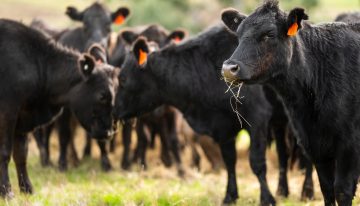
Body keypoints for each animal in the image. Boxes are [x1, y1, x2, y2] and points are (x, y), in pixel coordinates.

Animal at [0, 19, 118, 198]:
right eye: (101, 95)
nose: (109, 132)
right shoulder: (8, 113)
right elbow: (5, 152)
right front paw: (7, 192)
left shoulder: (23, 119)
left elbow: (21, 154)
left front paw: (27, 189)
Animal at [115, 26, 276, 204]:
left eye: (122, 78)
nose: (114, 110)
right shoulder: (224, 127)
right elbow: (229, 161)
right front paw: (230, 196)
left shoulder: (258, 117)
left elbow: (257, 162)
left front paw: (267, 198)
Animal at [222, 0, 360, 205]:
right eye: (238, 36)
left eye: (269, 34)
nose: (229, 68)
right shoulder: (314, 144)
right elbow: (327, 189)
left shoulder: (348, 145)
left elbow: (342, 191)